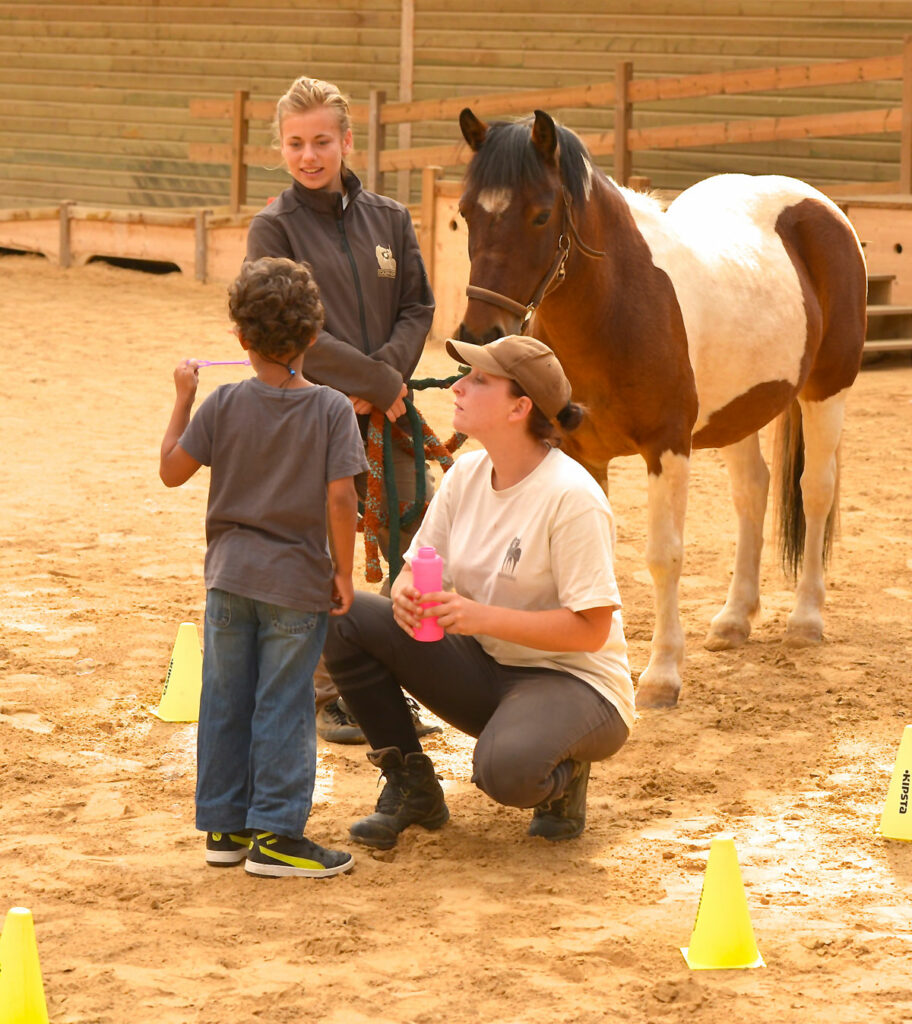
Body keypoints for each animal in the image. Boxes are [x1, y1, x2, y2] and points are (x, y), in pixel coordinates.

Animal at [460, 108, 867, 708]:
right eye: (466, 213)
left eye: (540, 214)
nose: (480, 334)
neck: (619, 303)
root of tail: (821, 207)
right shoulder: (583, 454)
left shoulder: (668, 447)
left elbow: (664, 556)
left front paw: (661, 676)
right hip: (739, 410)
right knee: (753, 492)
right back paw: (733, 619)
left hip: (826, 391)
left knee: (815, 489)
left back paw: (805, 619)